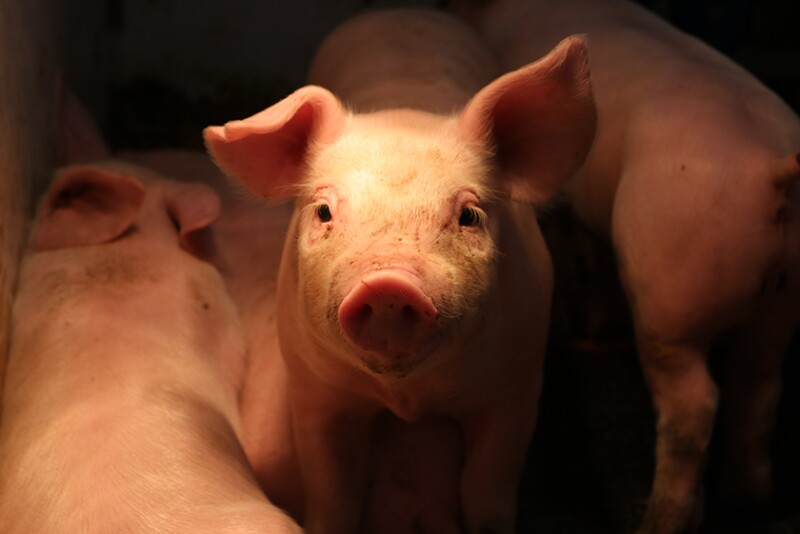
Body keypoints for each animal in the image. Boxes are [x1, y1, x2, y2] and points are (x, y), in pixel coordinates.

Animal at [204, 8, 596, 534]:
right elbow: (334, 493)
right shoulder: (316, 392)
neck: (408, 399)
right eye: (324, 211)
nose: (388, 284)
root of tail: (402, 10)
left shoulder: (516, 387)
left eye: (469, 215)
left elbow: (487, 491)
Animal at [449, 0, 800, 531]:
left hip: (669, 292)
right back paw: (747, 497)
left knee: (695, 404)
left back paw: (659, 520)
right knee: (761, 381)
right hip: (782, 296)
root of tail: (774, 169)